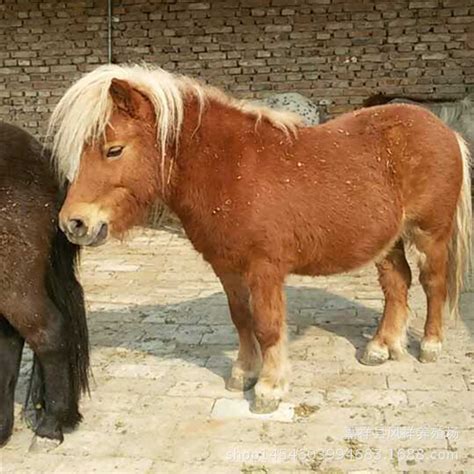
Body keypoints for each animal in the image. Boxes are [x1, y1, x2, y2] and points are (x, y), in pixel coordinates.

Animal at [48, 65, 470, 412]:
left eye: (113, 150)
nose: (74, 223)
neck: (230, 169)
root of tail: (444, 129)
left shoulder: (265, 268)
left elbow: (267, 325)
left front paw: (269, 388)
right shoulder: (227, 267)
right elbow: (241, 319)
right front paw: (243, 373)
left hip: (430, 233)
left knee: (432, 283)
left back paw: (430, 345)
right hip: (389, 240)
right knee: (397, 284)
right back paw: (381, 347)